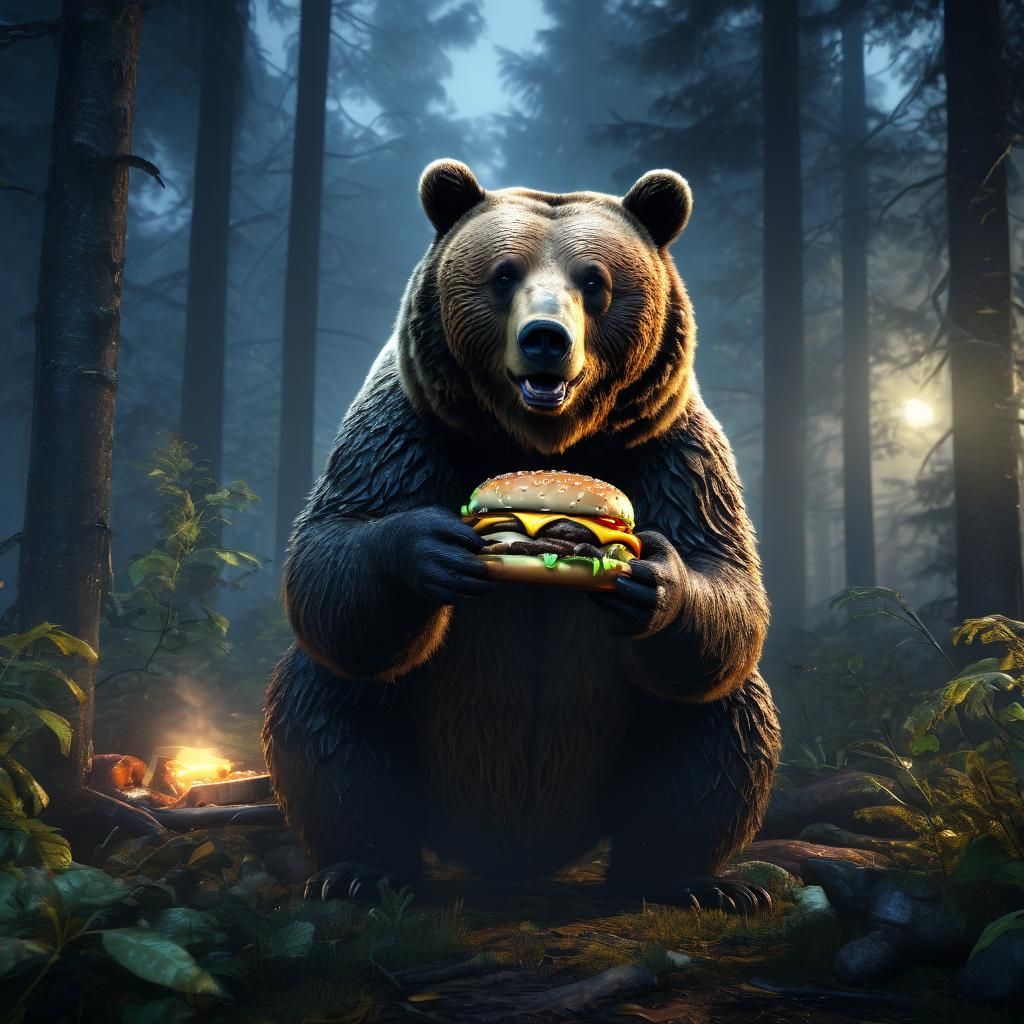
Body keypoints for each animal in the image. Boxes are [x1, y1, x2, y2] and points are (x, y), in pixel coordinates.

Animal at [262, 159, 781, 912]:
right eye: (503, 274)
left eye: (594, 281)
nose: (545, 338)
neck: (541, 439)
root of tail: (514, 859)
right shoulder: (405, 423)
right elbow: (332, 550)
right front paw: (430, 550)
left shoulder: (671, 445)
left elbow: (726, 577)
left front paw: (652, 581)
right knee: (330, 705)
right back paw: (361, 871)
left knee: (719, 724)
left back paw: (689, 881)